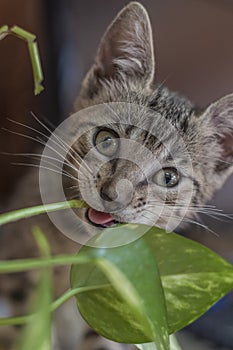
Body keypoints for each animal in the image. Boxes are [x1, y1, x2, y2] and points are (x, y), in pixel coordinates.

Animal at [0, 2, 233, 350]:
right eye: (106, 139)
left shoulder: (123, 292)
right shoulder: (18, 263)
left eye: (169, 178)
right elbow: (26, 327)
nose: (112, 194)